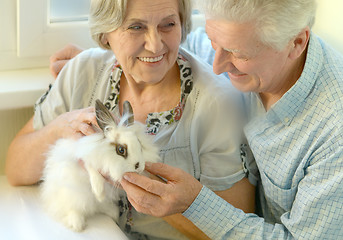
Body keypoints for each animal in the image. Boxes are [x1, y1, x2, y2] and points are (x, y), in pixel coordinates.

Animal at [40, 99, 161, 231]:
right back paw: (77, 223)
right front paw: (98, 190)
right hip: (70, 193)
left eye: (139, 144)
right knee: (71, 207)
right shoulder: (81, 156)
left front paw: (99, 194)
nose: (139, 167)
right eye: (121, 150)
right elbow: (91, 167)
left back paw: (112, 212)